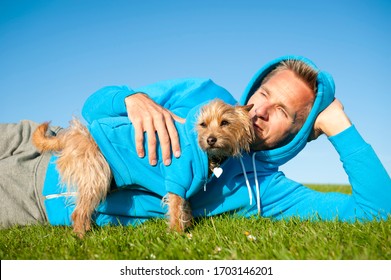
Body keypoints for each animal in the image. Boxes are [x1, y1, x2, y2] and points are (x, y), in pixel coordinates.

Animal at [33, 98, 254, 236]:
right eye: (203, 124)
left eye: (225, 123)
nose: (210, 139)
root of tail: (76, 135)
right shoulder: (177, 181)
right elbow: (176, 208)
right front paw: (177, 234)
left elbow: (185, 207)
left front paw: (187, 226)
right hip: (96, 177)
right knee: (78, 213)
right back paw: (81, 237)